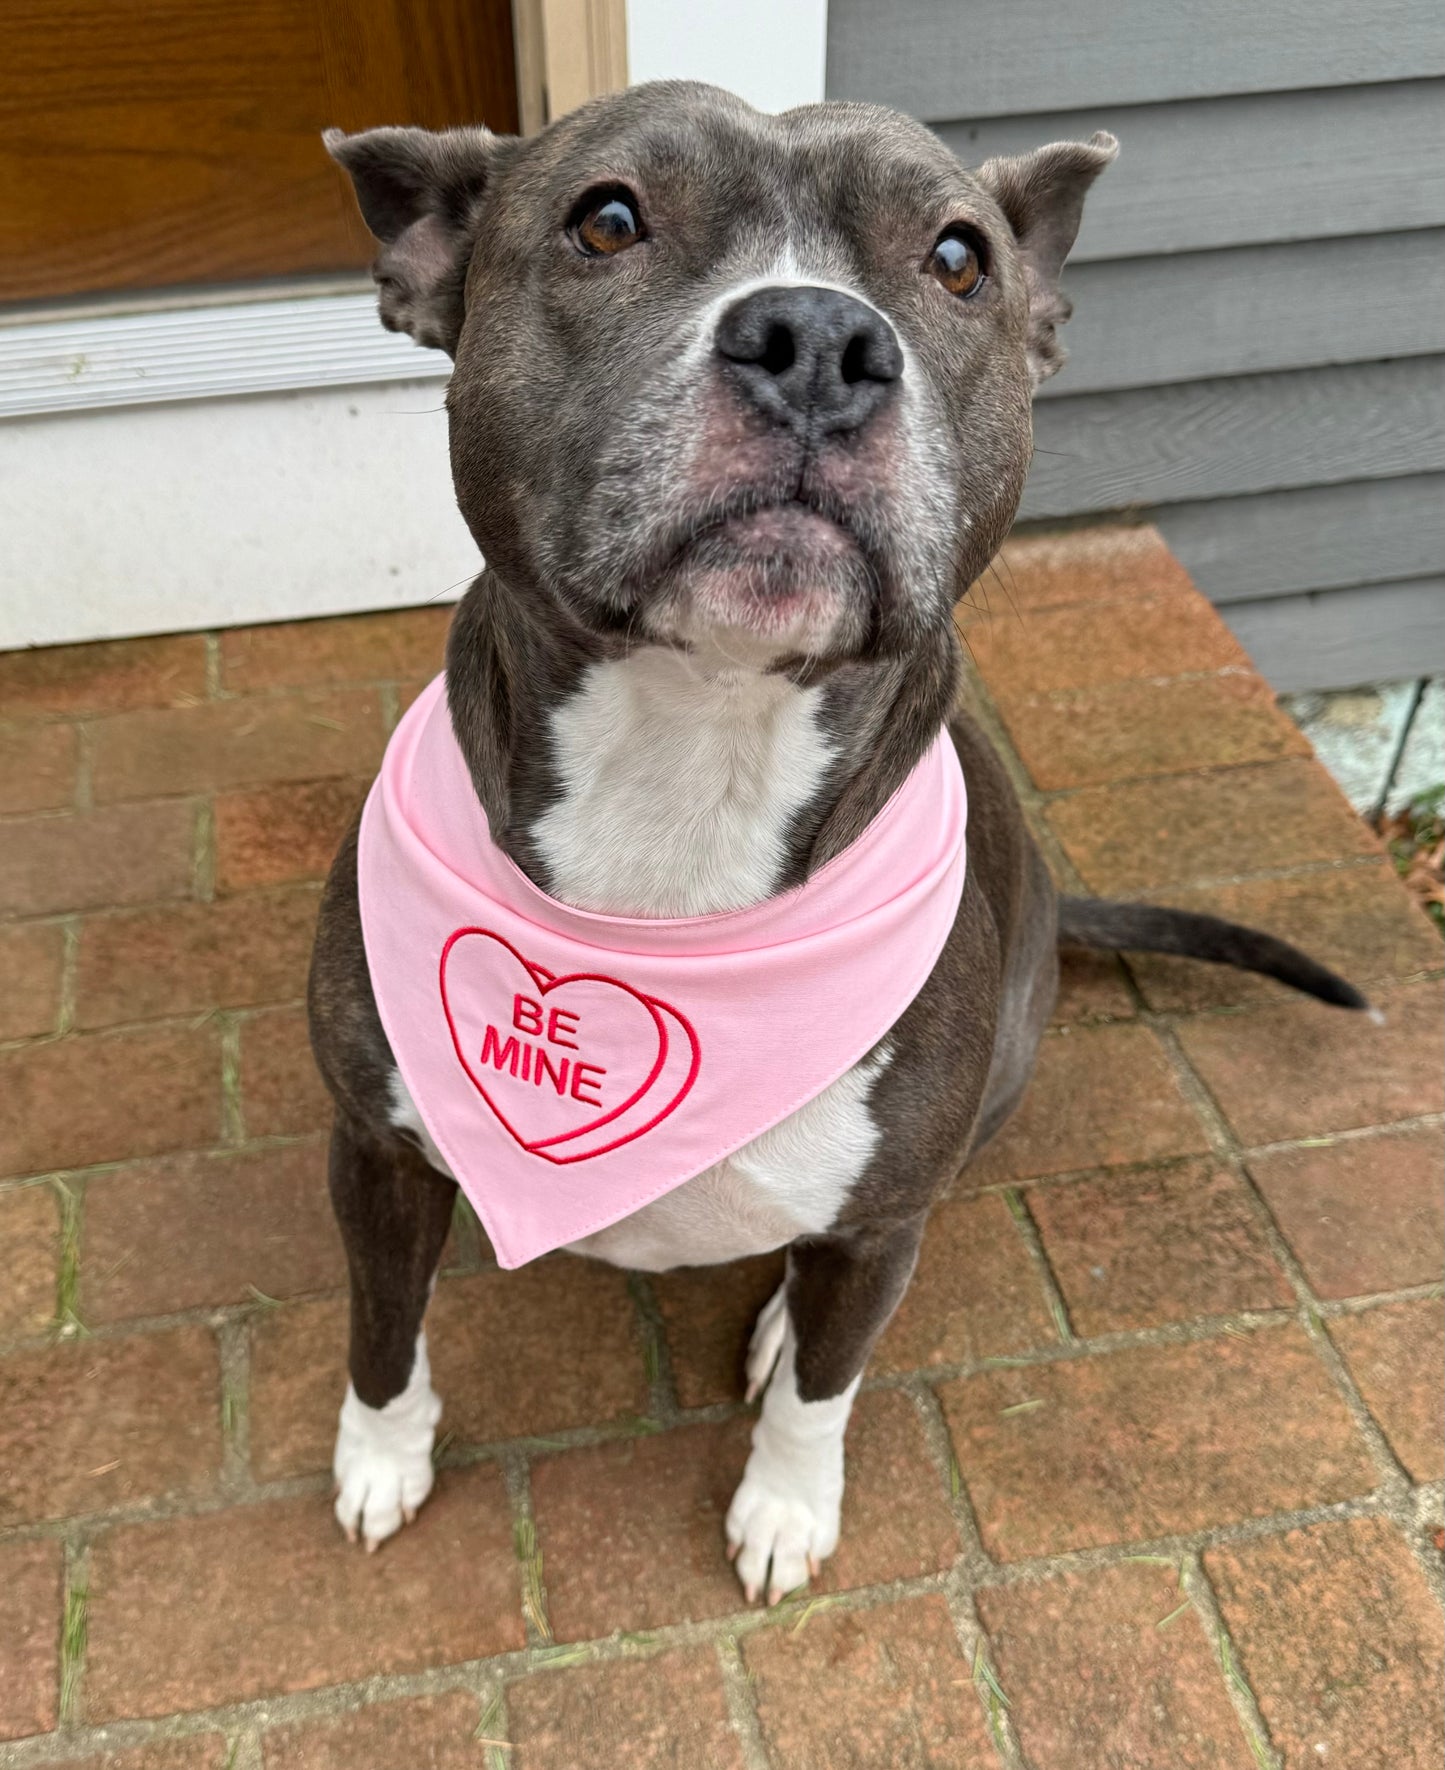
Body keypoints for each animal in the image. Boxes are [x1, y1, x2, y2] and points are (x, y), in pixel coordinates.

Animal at [308, 79, 1367, 1607]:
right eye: (606, 218)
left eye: (956, 259)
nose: (818, 339)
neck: (691, 764)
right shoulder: (373, 1151)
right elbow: (382, 1324)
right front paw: (382, 1455)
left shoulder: (878, 1226)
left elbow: (826, 1381)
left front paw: (784, 1504)